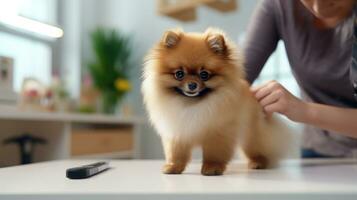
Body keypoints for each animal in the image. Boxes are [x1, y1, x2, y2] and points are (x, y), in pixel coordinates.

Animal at [140, 27, 290, 175]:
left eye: (204, 74)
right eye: (179, 74)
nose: (192, 85)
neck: (192, 105)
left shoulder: (217, 132)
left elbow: (214, 153)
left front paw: (212, 168)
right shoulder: (178, 132)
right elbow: (176, 153)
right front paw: (173, 167)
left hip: (251, 134)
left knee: (257, 148)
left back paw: (258, 162)